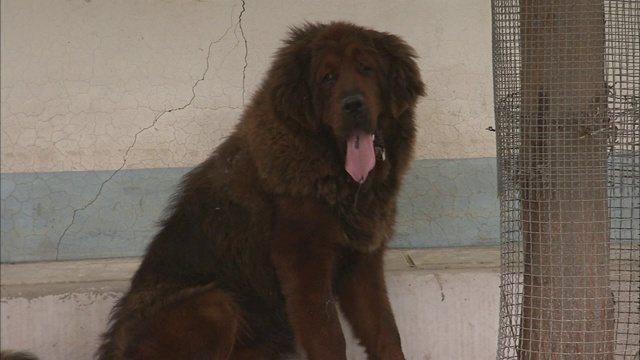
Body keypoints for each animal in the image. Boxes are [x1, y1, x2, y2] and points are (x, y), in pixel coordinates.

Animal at [95, 21, 424, 360]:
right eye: (328, 77)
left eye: (366, 68)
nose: (353, 104)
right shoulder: (304, 263)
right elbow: (329, 337)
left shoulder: (363, 262)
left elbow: (385, 332)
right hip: (216, 305)